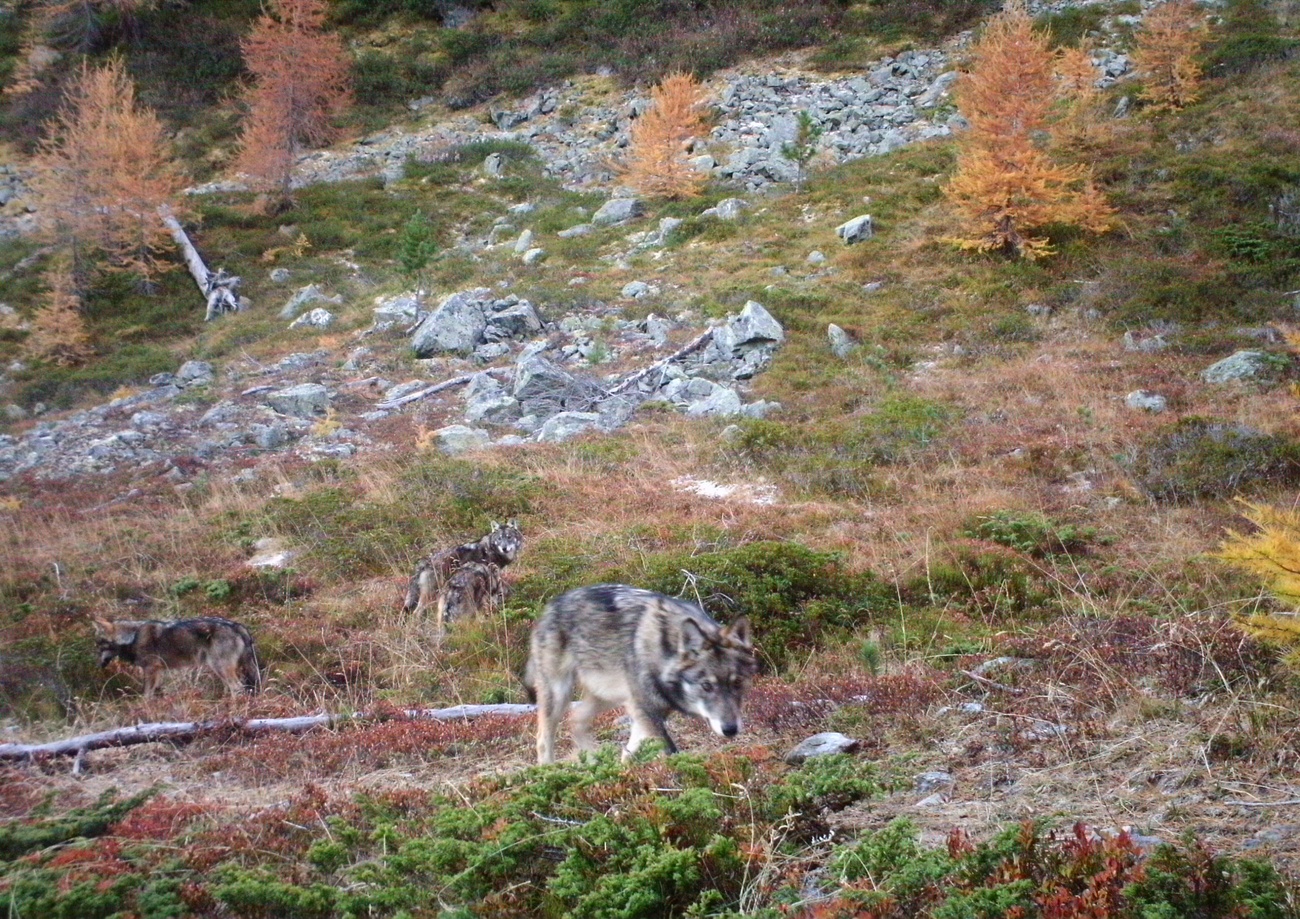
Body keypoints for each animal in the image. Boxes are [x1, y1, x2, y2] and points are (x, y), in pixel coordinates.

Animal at [91, 618, 261, 696]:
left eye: (100, 645)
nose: (98, 665)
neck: (133, 637)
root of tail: (237, 626)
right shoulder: (158, 672)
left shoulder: (151, 669)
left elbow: (146, 695)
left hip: (219, 667)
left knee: (237, 688)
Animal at [522, 584, 759, 764]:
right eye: (706, 686)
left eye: (737, 683)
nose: (730, 729)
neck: (664, 651)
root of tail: (550, 606)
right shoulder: (645, 709)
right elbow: (669, 750)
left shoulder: (647, 711)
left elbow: (628, 752)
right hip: (559, 695)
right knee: (543, 739)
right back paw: (549, 772)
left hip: (608, 697)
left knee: (576, 720)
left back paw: (593, 762)